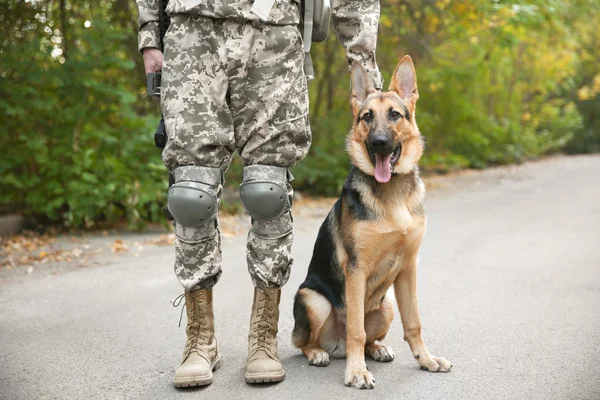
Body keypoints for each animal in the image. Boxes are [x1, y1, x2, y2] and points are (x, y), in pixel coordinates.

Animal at [292, 55, 452, 388]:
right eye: (367, 117)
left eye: (394, 115)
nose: (379, 143)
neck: (391, 195)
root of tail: (336, 346)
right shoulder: (356, 270)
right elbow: (356, 328)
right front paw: (356, 372)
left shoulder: (408, 268)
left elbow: (414, 323)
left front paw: (426, 359)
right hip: (313, 299)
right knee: (303, 342)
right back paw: (319, 353)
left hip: (386, 303)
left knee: (369, 339)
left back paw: (377, 349)